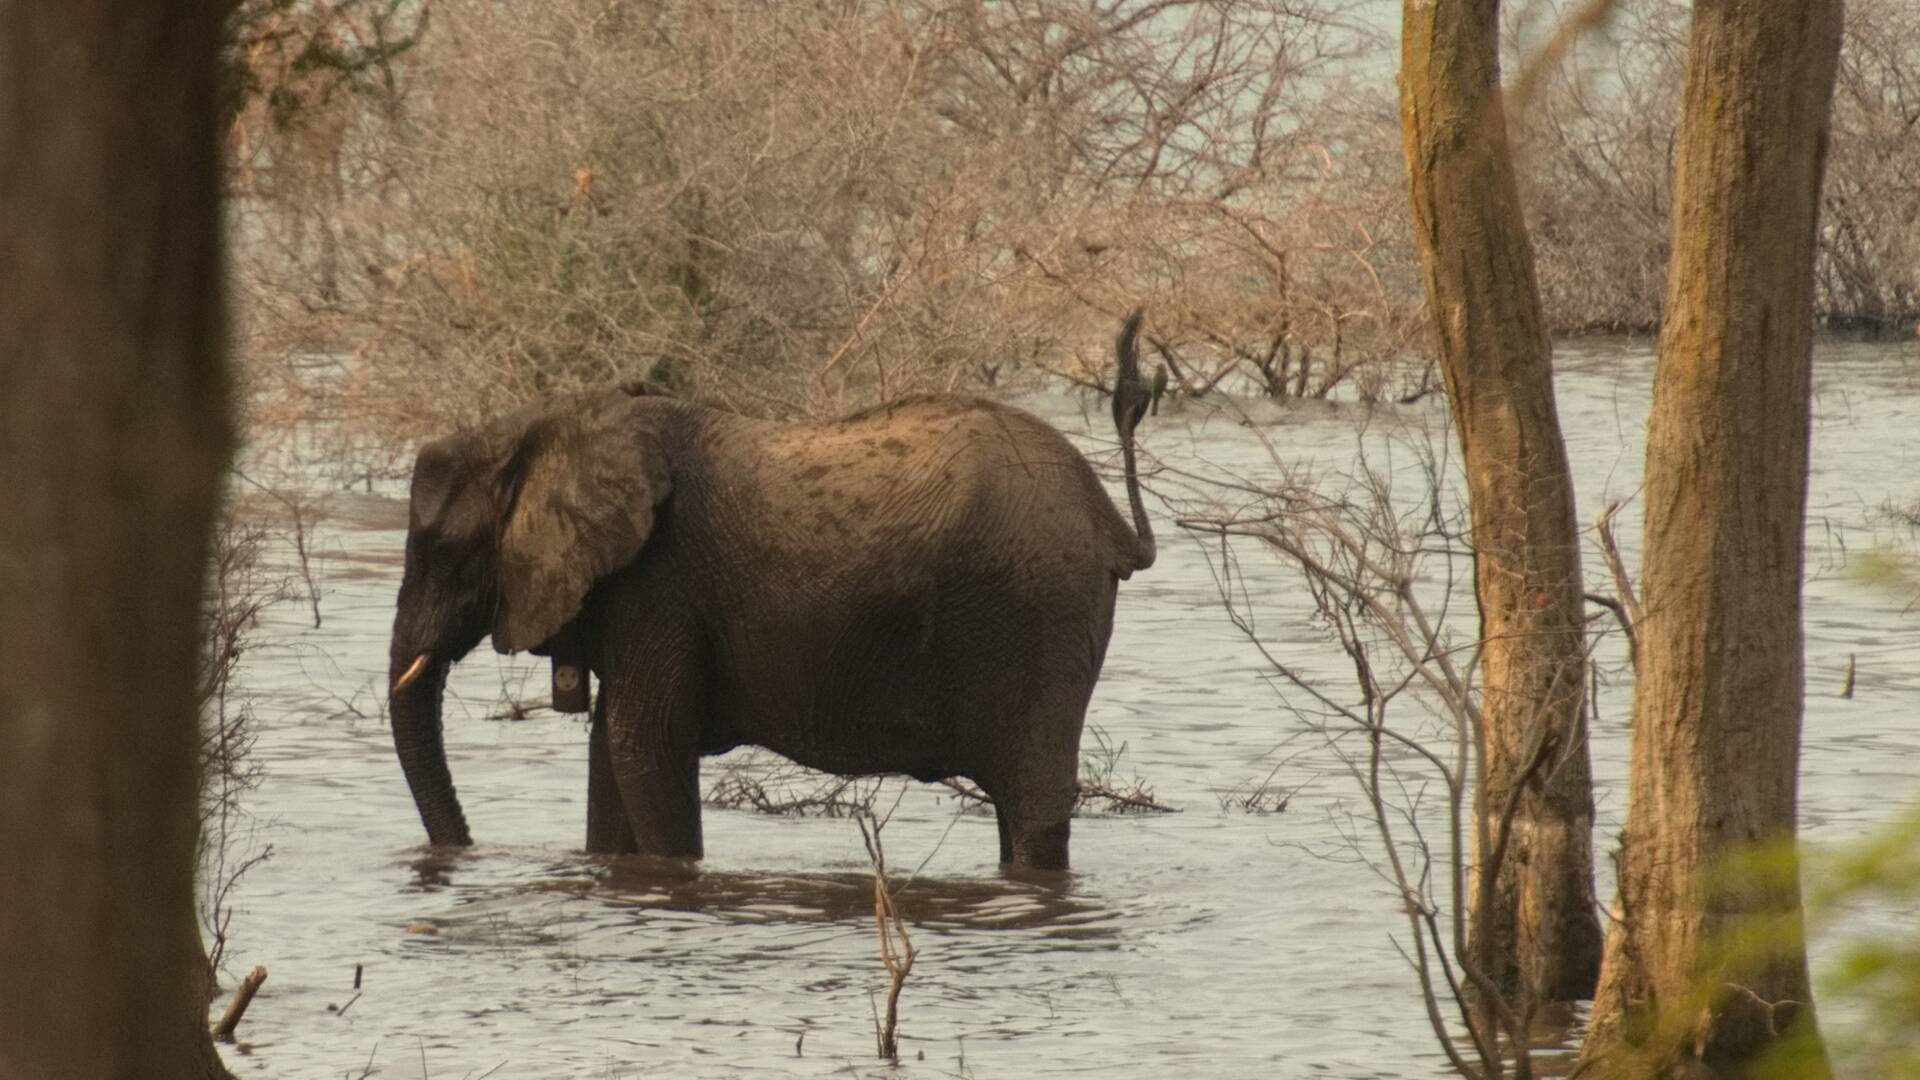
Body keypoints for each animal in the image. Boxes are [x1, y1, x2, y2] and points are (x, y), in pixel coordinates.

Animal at [382, 309, 1144, 864]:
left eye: (441, 548)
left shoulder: (659, 583)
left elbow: (642, 744)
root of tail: (1107, 519)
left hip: (1036, 610)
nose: (464, 854)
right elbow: (610, 753)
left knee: (1034, 808)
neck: (558, 423)